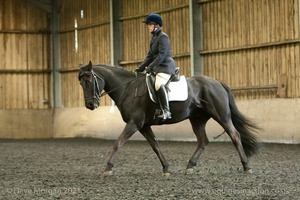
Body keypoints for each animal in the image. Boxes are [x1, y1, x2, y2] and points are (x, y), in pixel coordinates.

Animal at [79, 60, 260, 176]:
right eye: (80, 82)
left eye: (89, 80)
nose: (90, 105)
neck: (128, 89)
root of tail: (218, 83)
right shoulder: (144, 126)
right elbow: (155, 146)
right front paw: (166, 168)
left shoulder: (134, 123)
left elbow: (118, 143)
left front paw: (108, 168)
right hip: (197, 119)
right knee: (203, 141)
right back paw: (189, 166)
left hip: (221, 115)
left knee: (235, 135)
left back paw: (246, 167)